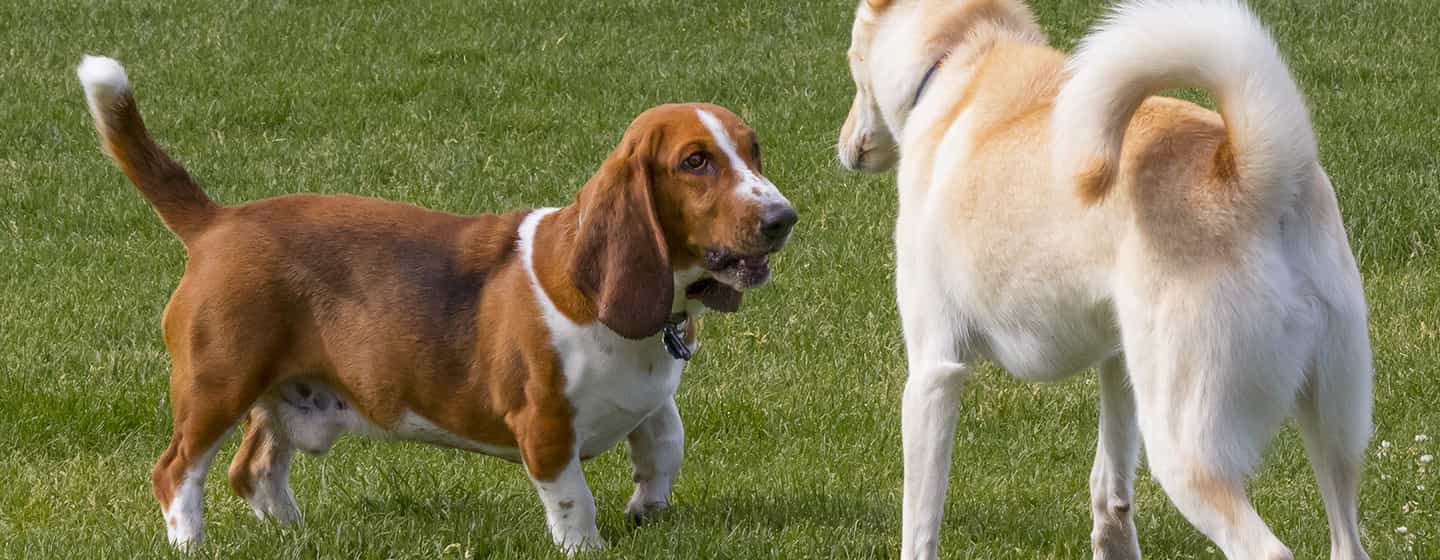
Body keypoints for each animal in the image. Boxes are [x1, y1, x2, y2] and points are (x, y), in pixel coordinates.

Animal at [78, 55, 800, 549]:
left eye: (754, 148)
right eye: (696, 162)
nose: (784, 218)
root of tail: (218, 221)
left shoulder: (651, 397)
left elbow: (665, 442)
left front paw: (647, 509)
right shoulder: (544, 425)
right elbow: (574, 501)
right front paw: (590, 545)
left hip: (280, 389)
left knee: (253, 469)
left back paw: (295, 534)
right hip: (217, 383)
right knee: (178, 472)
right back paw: (192, 543)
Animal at [840, 1, 1370, 558]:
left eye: (851, 58)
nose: (843, 146)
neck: (963, 55)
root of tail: (1253, 171)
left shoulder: (933, 372)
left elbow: (920, 522)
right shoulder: (1118, 361)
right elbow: (1110, 486)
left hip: (1186, 447)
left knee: (1266, 547)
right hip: (1333, 429)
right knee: (1346, 540)